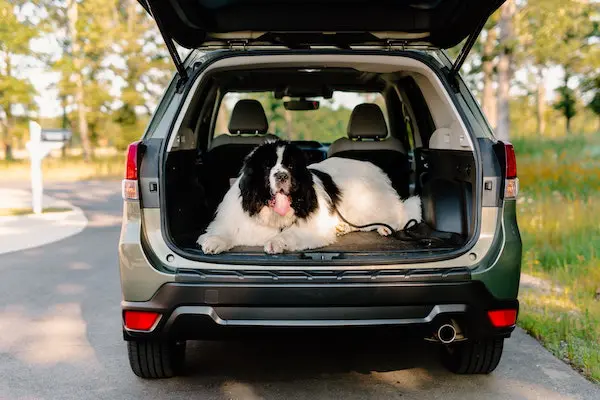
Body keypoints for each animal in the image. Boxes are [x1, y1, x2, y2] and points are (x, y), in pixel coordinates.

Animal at [197, 140, 422, 253]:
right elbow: (223, 231)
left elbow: (288, 233)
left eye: (290, 166)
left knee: (401, 213)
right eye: (267, 166)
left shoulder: (311, 228)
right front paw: (213, 241)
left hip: (366, 203)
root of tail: (374, 169)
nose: (281, 175)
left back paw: (385, 227)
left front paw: (276, 242)